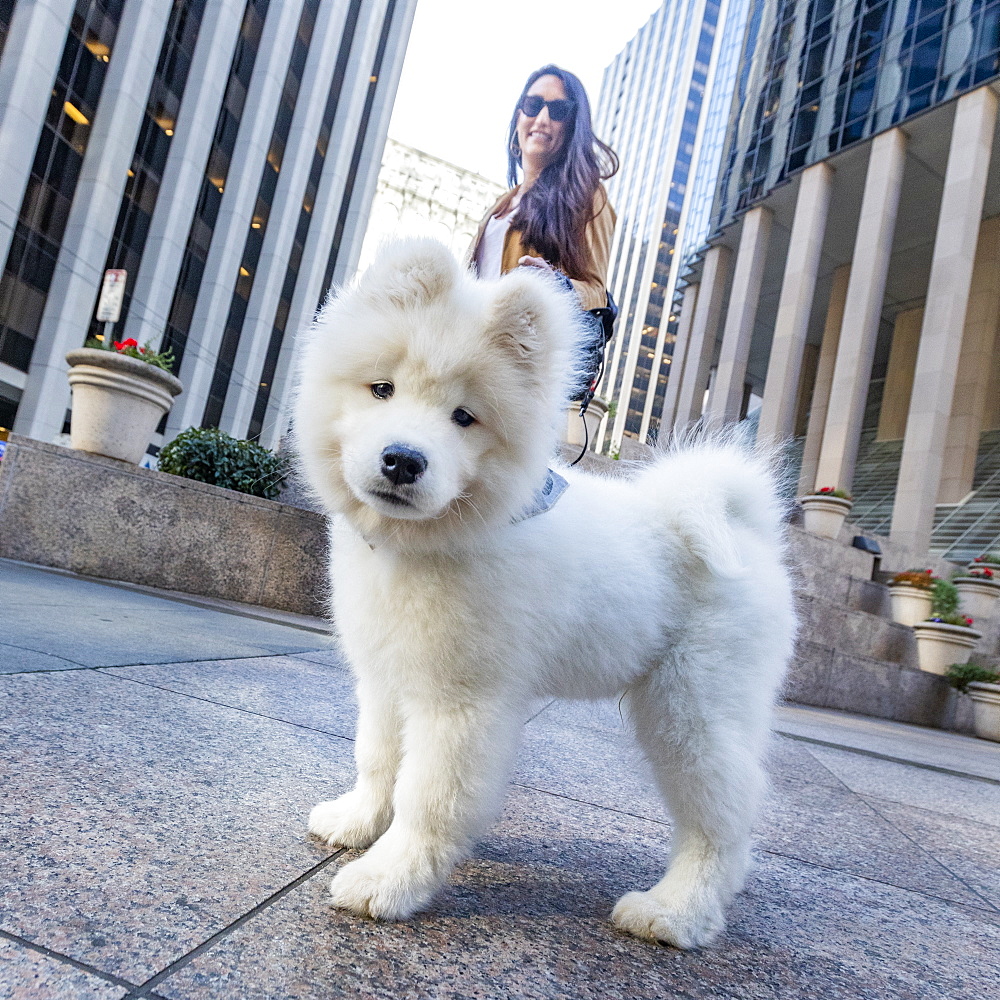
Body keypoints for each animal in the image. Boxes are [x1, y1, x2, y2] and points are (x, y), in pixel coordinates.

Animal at [292, 238, 796, 948]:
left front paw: (387, 880)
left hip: (692, 706)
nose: (403, 460)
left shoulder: (463, 701)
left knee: (721, 816)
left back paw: (675, 912)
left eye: (464, 418)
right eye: (382, 389)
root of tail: (743, 526)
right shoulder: (389, 675)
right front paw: (357, 822)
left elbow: (429, 797)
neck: (427, 543)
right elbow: (379, 757)